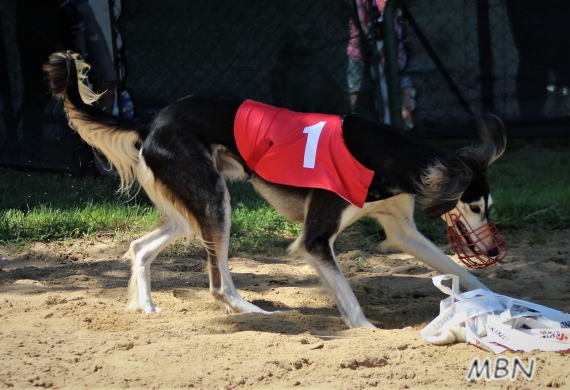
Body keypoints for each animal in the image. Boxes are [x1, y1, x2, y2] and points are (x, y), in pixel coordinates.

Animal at [45, 50, 506, 328]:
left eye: (487, 206)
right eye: (475, 208)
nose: (492, 249)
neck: (384, 156)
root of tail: (153, 118)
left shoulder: (402, 231)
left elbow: (460, 271)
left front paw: (497, 299)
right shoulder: (315, 240)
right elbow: (349, 297)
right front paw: (367, 330)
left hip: (191, 209)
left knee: (140, 247)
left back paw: (146, 306)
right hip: (215, 202)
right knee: (218, 283)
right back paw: (252, 311)